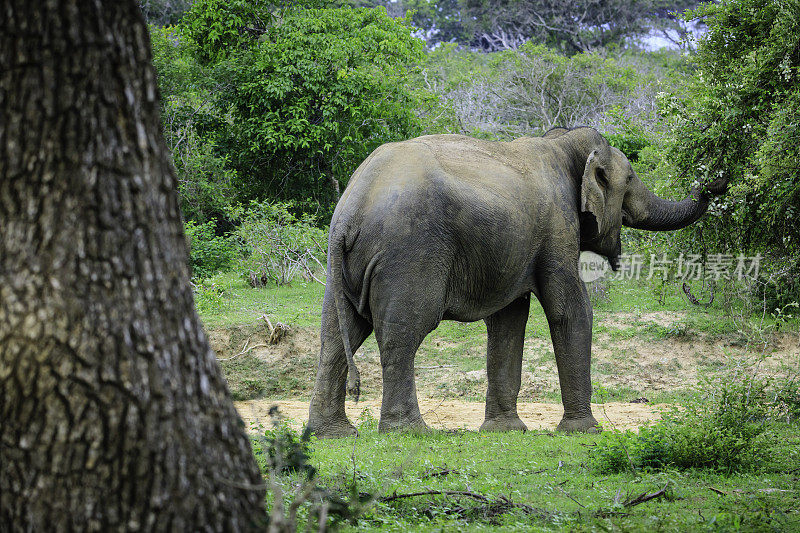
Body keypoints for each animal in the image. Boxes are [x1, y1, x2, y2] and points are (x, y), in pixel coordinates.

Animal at [304, 125, 724, 436]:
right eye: (631, 177)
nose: (714, 181)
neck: (562, 143)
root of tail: (350, 210)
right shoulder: (557, 227)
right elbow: (570, 311)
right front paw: (586, 431)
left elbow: (508, 320)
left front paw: (505, 432)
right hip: (408, 254)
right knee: (402, 334)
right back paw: (412, 433)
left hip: (345, 266)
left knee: (336, 336)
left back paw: (332, 435)